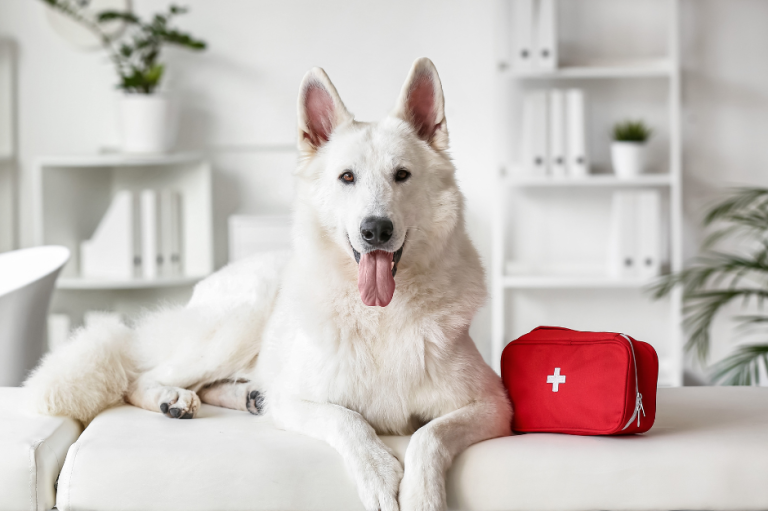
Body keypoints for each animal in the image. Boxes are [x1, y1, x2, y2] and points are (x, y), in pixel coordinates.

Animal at [27, 57, 510, 511]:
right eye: (347, 177)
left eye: (402, 175)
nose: (376, 229)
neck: (380, 316)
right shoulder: (296, 401)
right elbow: (347, 419)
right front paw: (377, 472)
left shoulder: (492, 405)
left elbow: (430, 435)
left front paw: (422, 495)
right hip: (238, 326)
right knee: (140, 377)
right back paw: (173, 397)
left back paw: (244, 397)